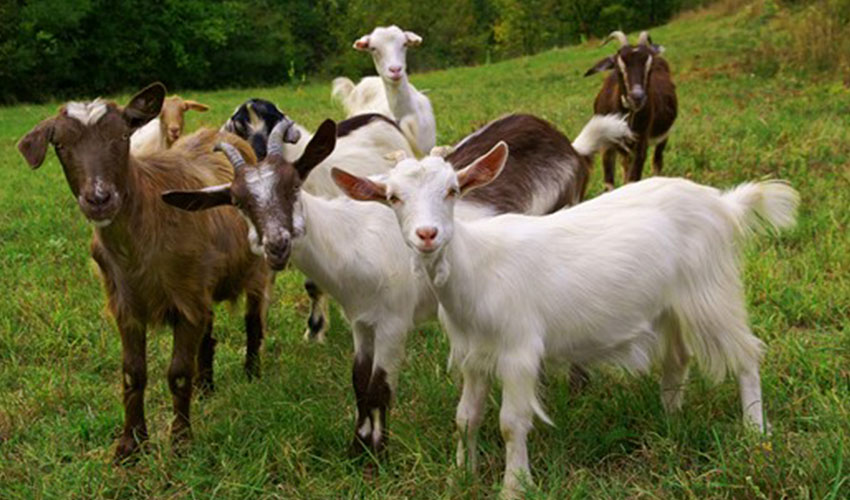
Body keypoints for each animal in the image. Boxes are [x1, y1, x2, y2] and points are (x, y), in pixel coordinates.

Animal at [17, 82, 268, 460]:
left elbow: (177, 373)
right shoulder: (127, 303)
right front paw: (131, 444)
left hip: (255, 270)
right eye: (59, 145)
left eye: (123, 136)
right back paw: (206, 386)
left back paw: (252, 373)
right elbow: (133, 374)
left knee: (253, 321)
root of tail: (222, 134)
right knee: (208, 334)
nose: (99, 199)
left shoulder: (186, 299)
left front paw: (180, 441)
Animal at [334, 143, 800, 498]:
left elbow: (510, 423)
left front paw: (514, 486)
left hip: (710, 290)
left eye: (452, 190)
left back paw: (755, 432)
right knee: (678, 357)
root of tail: (722, 204)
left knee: (746, 354)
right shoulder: (473, 354)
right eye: (393, 197)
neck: (476, 269)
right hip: (671, 304)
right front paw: (459, 476)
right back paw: (671, 419)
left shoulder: (519, 349)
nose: (427, 235)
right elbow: (466, 417)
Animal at [584, 29, 676, 189]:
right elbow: (609, 184)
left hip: (663, 136)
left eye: (650, 68)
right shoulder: (607, 146)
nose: (637, 97)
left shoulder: (641, 143)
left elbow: (634, 179)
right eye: (618, 67)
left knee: (657, 161)